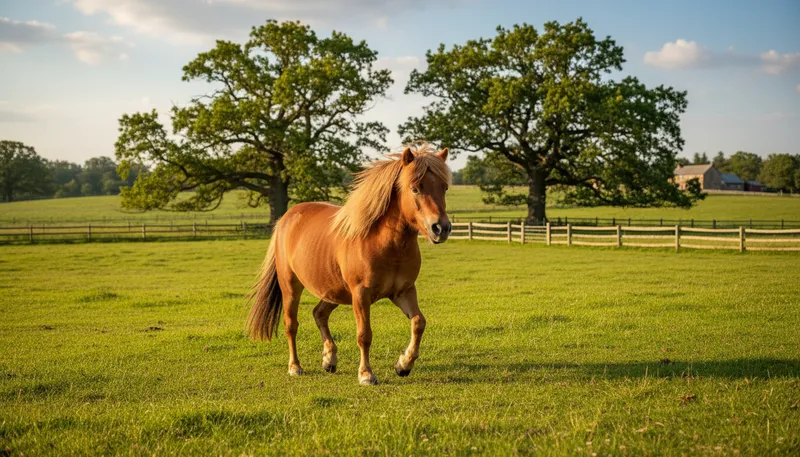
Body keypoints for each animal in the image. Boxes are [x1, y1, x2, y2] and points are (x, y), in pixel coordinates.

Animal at [247, 144, 452, 385]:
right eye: (415, 188)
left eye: (444, 187)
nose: (441, 228)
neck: (385, 243)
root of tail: (286, 218)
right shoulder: (361, 294)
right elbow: (364, 335)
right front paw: (366, 374)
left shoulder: (403, 291)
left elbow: (419, 322)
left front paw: (403, 364)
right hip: (291, 287)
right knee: (291, 325)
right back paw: (295, 367)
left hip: (334, 291)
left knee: (319, 313)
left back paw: (329, 359)